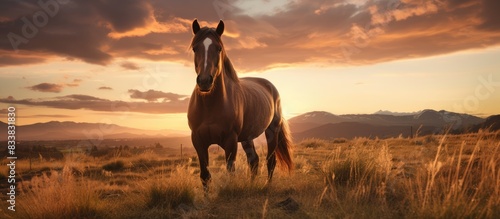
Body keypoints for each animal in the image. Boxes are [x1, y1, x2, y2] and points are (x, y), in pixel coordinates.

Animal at [189, 18, 294, 191]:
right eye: (195, 48)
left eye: (219, 48)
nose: (204, 81)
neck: (210, 107)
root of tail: (270, 86)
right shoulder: (198, 141)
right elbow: (205, 176)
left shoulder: (230, 141)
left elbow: (230, 173)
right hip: (247, 138)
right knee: (254, 161)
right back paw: (252, 185)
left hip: (272, 131)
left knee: (270, 161)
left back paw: (266, 186)